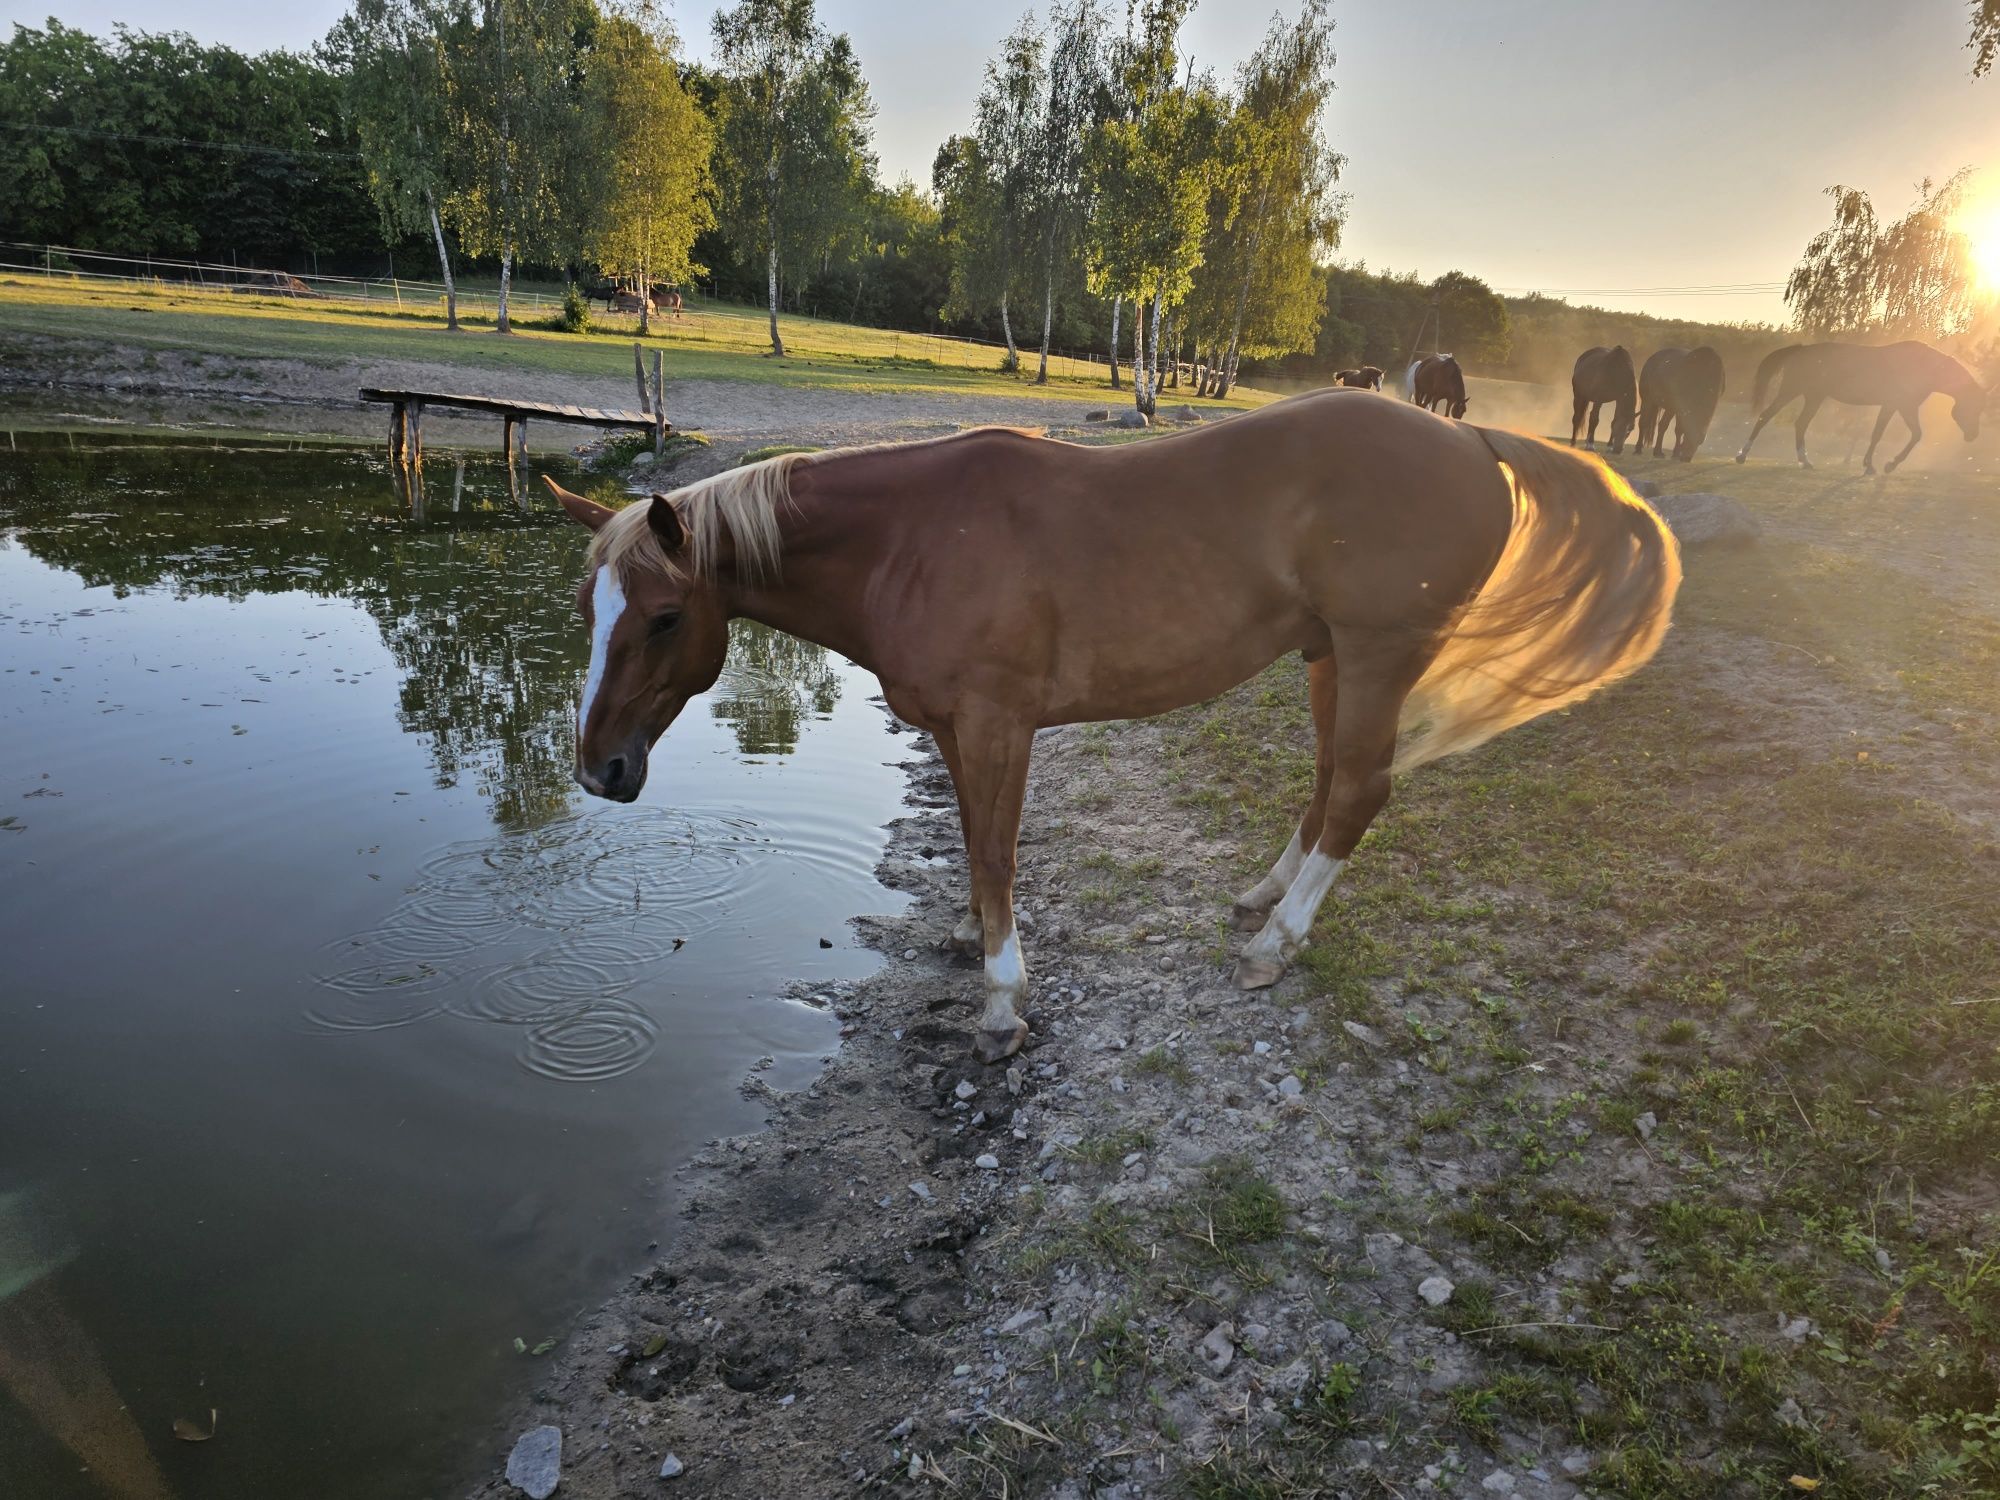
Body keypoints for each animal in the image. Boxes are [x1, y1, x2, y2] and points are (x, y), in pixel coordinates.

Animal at [540, 394, 1680, 1064]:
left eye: (664, 616)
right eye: (588, 608)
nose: (600, 769)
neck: (913, 538)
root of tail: (1473, 438)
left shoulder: (998, 724)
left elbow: (997, 853)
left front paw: (1002, 1002)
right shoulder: (957, 728)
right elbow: (974, 845)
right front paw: (969, 943)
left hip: (1376, 652)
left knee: (1358, 787)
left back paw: (1274, 944)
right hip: (1328, 656)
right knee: (1326, 780)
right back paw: (1265, 894)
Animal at [1736, 342, 1984, 472]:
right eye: (1974, 407)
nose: (1973, 436)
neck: (1923, 366)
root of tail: (1800, 349)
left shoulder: (1897, 406)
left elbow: (1887, 434)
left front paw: (1875, 464)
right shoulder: (1900, 406)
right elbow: (1906, 434)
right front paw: (1884, 465)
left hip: (1814, 397)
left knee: (1800, 424)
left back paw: (1805, 461)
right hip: (1791, 391)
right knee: (1765, 417)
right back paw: (1742, 455)